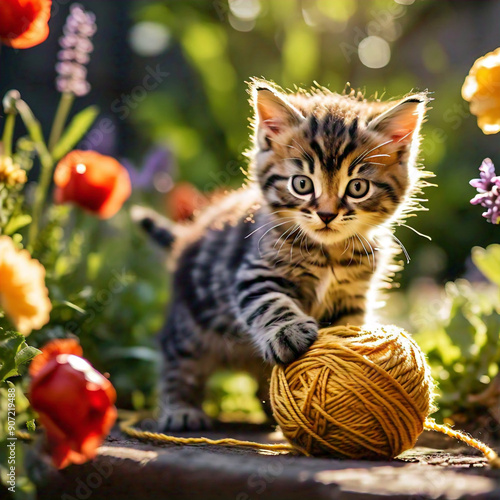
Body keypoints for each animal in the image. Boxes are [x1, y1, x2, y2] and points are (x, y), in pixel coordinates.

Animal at [134, 80, 430, 432]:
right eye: (301, 184)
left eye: (357, 188)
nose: (327, 214)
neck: (328, 253)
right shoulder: (254, 270)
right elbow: (270, 303)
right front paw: (288, 332)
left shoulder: (352, 297)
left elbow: (346, 327)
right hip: (191, 322)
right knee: (176, 358)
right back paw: (181, 409)